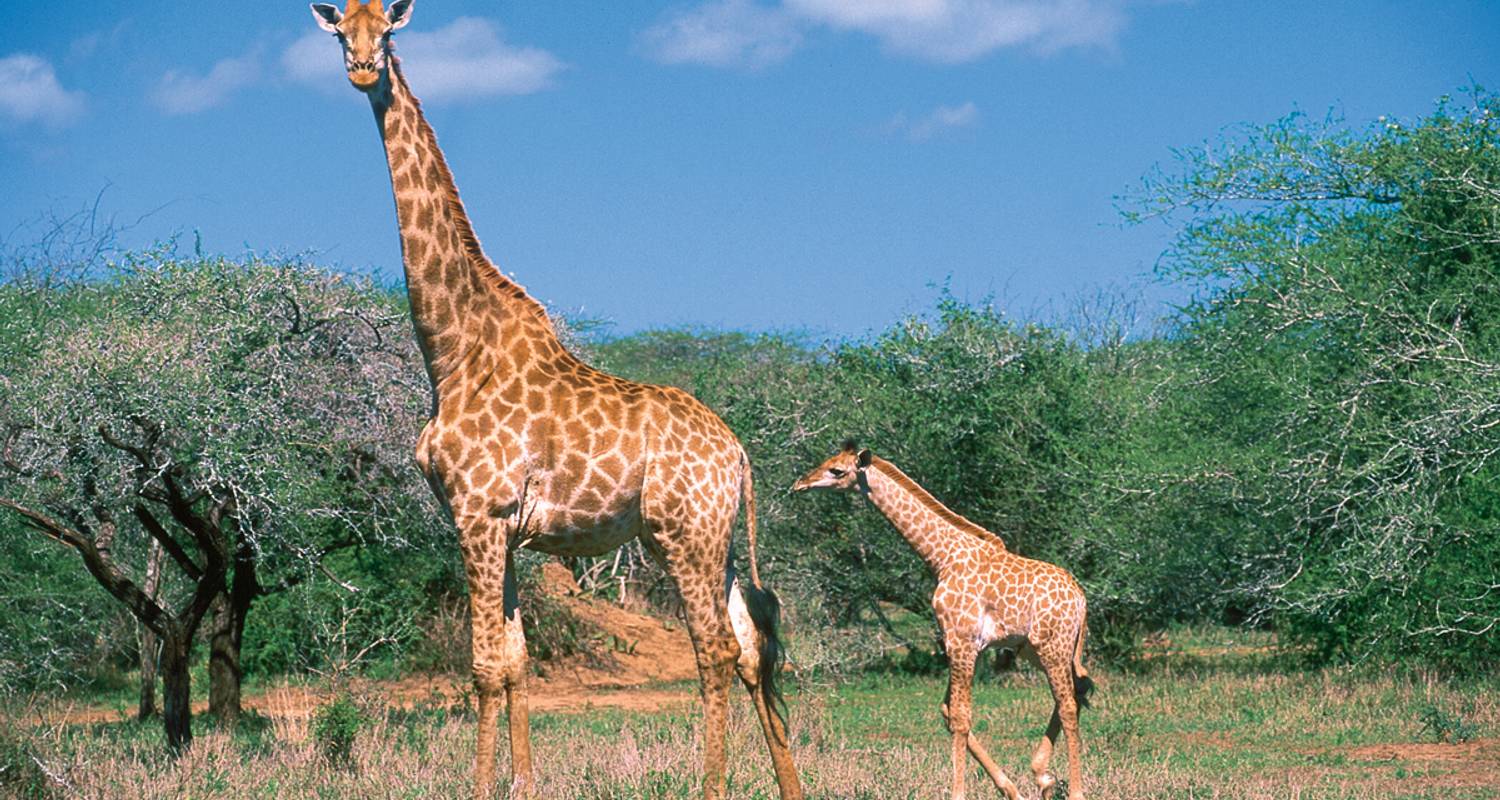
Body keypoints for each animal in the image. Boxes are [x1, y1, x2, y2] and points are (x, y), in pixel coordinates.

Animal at [307, 3, 810, 792]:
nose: (361, 69)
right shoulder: (504, 526)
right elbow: (516, 662)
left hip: (682, 535)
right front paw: (522, 784)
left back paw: (714, 786)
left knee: (716, 650)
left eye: (386, 29)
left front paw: (481, 787)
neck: (452, 351)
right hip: (717, 539)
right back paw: (789, 787)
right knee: (754, 645)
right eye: (339, 29)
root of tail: (738, 455)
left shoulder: (477, 513)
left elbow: (484, 666)